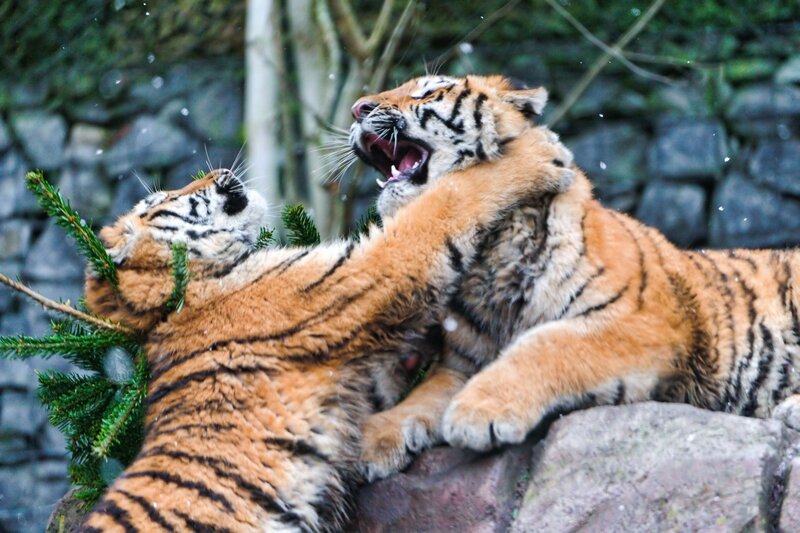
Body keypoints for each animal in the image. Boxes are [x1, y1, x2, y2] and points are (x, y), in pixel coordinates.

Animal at [77, 129, 575, 531]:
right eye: (161, 200)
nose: (220, 170)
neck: (182, 292)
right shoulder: (364, 273)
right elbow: (446, 201)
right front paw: (537, 151)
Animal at [349, 73, 800, 481]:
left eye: (427, 91)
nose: (358, 109)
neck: (489, 255)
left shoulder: (641, 323)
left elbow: (546, 345)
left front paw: (479, 412)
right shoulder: (461, 363)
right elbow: (422, 396)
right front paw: (373, 441)